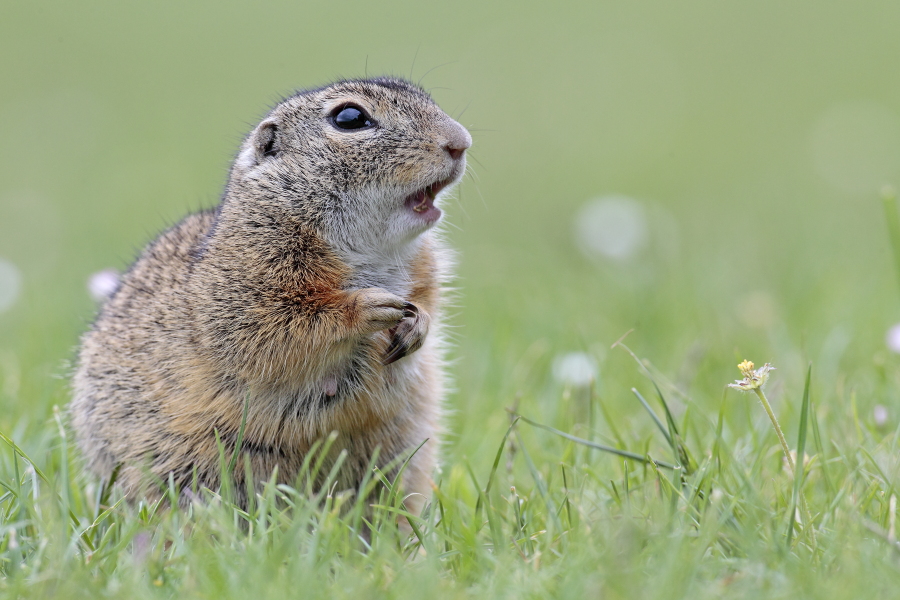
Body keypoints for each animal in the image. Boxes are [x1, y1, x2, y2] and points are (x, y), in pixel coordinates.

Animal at [70, 77, 471, 512]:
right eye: (350, 118)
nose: (460, 142)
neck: (373, 251)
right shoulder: (245, 284)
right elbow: (280, 327)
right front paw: (369, 307)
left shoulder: (424, 269)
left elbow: (427, 298)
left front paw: (418, 325)